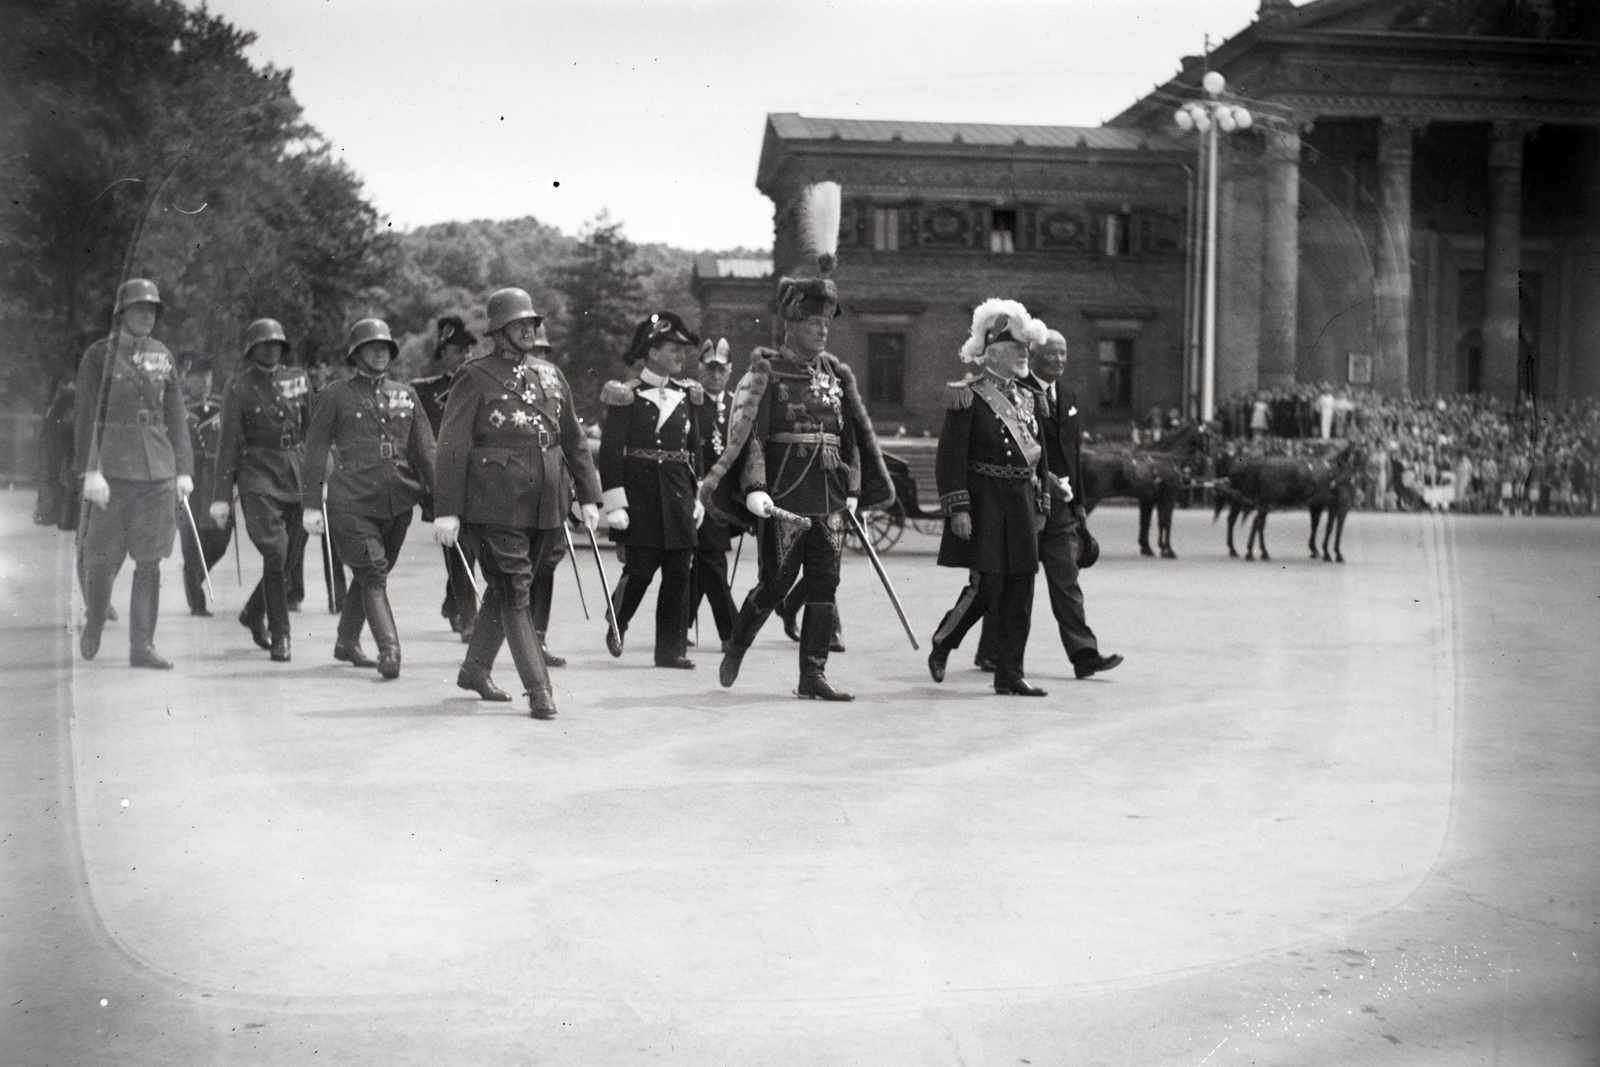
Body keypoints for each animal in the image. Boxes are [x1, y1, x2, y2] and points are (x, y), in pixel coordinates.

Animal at [1081, 422, 1203, 563]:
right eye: (1211, 433)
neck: (1165, 459)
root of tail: (1088, 456)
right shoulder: (1168, 498)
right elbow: (1166, 522)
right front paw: (1167, 550)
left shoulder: (1148, 500)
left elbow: (1147, 523)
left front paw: (1148, 548)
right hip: (1091, 499)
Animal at [1216, 441, 1369, 563]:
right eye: (1360, 454)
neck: (1337, 472)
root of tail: (1261, 463)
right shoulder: (1341, 507)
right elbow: (1336, 530)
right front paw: (1335, 553)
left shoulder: (1319, 505)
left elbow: (1320, 526)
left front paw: (1319, 550)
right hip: (1265, 503)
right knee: (1256, 523)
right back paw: (1253, 552)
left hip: (1252, 502)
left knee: (1241, 521)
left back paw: (1243, 550)